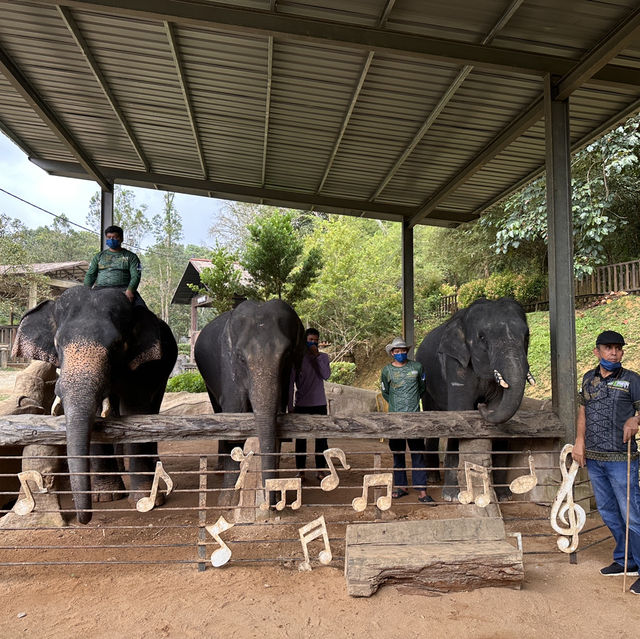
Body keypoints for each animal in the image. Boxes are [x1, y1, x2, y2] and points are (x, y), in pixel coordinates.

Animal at [11, 286, 178, 524]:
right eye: (57, 344)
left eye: (117, 345)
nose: (82, 519)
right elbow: (99, 414)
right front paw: (105, 496)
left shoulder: (143, 368)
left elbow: (136, 411)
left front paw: (146, 501)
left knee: (152, 410)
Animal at [195, 300, 304, 500]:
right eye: (240, 357)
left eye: (287, 354)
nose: (272, 502)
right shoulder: (228, 364)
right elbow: (234, 414)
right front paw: (227, 501)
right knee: (218, 409)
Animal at [412, 298, 532, 502]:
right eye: (482, 338)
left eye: (526, 336)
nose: (482, 405)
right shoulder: (456, 363)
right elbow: (460, 412)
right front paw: (452, 496)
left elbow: (500, 411)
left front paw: (504, 497)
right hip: (426, 382)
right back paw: (433, 478)